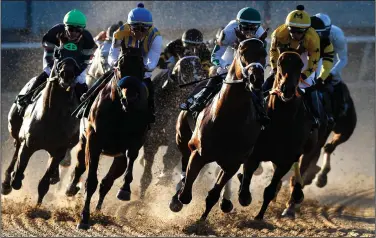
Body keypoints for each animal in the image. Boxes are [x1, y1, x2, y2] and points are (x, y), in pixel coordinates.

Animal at [1, 43, 81, 205]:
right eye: (58, 53)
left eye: (80, 54)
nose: (67, 74)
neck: (52, 116)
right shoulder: (28, 144)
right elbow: (17, 176)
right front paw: (13, 179)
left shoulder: (59, 150)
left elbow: (43, 184)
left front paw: (37, 207)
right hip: (15, 127)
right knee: (16, 149)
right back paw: (6, 183)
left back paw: (55, 176)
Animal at [66, 45, 150, 230]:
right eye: (120, 66)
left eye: (141, 67)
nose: (130, 98)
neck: (120, 112)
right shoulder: (93, 141)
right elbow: (90, 181)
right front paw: (84, 218)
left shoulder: (134, 141)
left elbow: (130, 159)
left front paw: (125, 190)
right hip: (83, 142)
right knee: (80, 167)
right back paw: (71, 188)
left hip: (117, 156)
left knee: (106, 183)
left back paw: (98, 210)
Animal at [170, 38, 268, 220]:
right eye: (242, 51)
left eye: (264, 53)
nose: (256, 78)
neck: (230, 117)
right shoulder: (198, 153)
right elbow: (186, 194)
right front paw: (178, 199)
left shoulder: (233, 163)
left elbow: (213, 194)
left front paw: (203, 218)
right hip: (183, 139)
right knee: (184, 163)